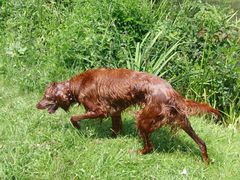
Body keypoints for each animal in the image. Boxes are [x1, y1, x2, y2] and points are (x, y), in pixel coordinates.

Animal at [36, 68, 220, 164]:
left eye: (46, 96)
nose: (37, 105)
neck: (77, 85)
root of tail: (171, 91)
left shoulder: (100, 110)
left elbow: (74, 117)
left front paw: (78, 126)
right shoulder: (115, 111)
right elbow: (115, 128)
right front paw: (111, 139)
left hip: (143, 119)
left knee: (149, 147)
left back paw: (136, 152)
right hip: (181, 120)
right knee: (201, 142)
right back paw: (206, 160)